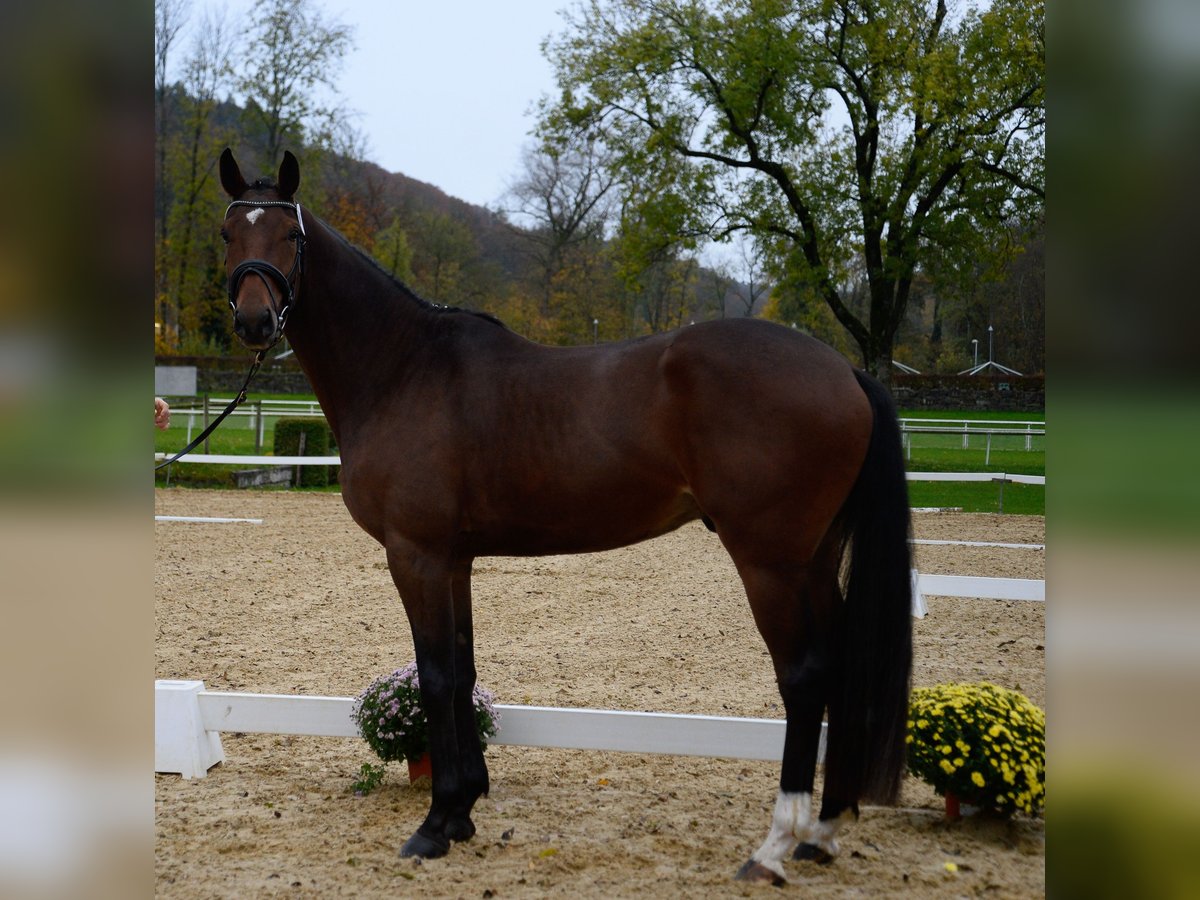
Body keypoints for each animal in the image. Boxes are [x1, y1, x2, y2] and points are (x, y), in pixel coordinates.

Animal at [218, 150, 907, 888]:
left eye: (290, 237)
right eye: (229, 234)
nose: (255, 321)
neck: (403, 368)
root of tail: (844, 371)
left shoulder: (416, 554)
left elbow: (434, 677)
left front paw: (434, 825)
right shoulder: (453, 559)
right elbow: (462, 672)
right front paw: (463, 811)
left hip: (770, 562)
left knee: (804, 677)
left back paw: (775, 845)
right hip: (815, 558)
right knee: (839, 668)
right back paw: (823, 833)